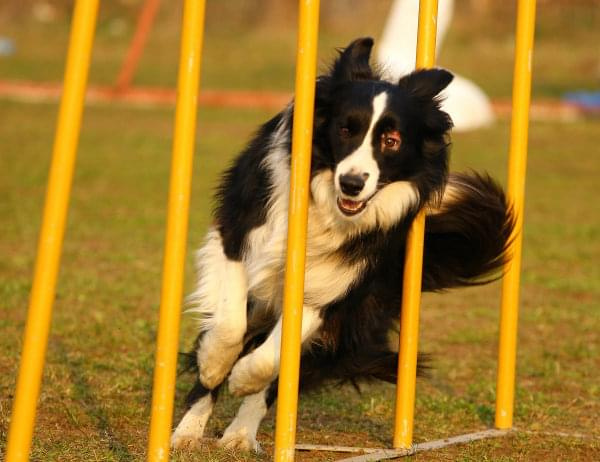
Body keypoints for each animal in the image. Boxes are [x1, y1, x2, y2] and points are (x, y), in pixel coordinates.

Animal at [171, 38, 512, 452]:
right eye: (345, 130)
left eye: (391, 141)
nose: (351, 184)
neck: (324, 203)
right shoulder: (236, 233)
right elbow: (229, 325)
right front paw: (215, 365)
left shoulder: (331, 287)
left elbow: (273, 358)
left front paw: (244, 378)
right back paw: (187, 433)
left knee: (282, 377)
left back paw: (239, 435)